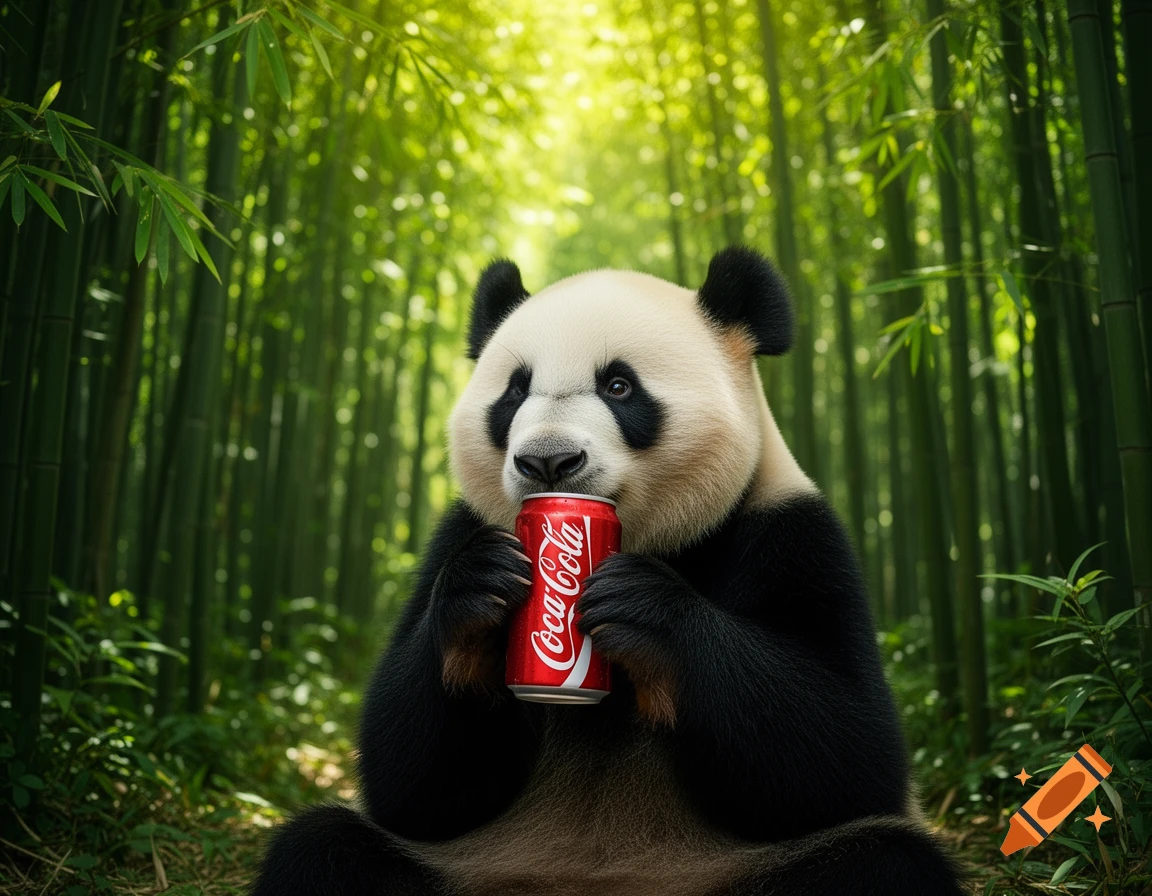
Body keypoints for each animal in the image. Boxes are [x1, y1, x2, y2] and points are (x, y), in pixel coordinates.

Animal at [251, 247, 966, 896]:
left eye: (618, 386)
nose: (548, 462)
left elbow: (852, 753)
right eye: (515, 390)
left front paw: (644, 610)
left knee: (884, 863)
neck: (662, 541)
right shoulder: (458, 531)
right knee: (322, 850)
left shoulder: (792, 533)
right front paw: (483, 586)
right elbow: (412, 782)